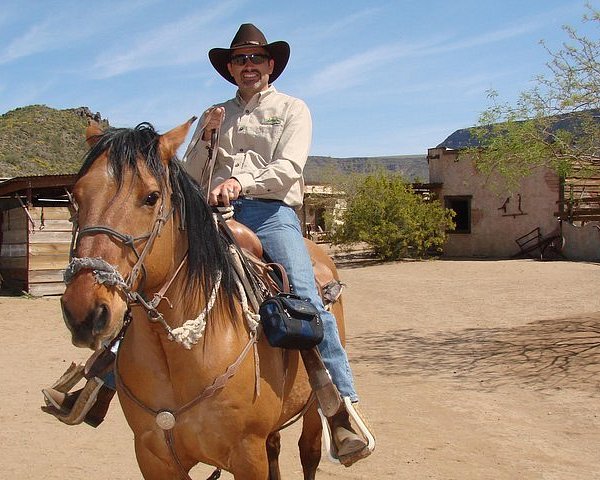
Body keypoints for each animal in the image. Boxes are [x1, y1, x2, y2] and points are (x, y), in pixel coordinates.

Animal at [59, 118, 346, 478]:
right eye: (75, 197)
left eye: (151, 197)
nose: (84, 313)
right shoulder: (152, 457)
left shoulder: (247, 456)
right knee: (276, 447)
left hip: (312, 409)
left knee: (309, 451)